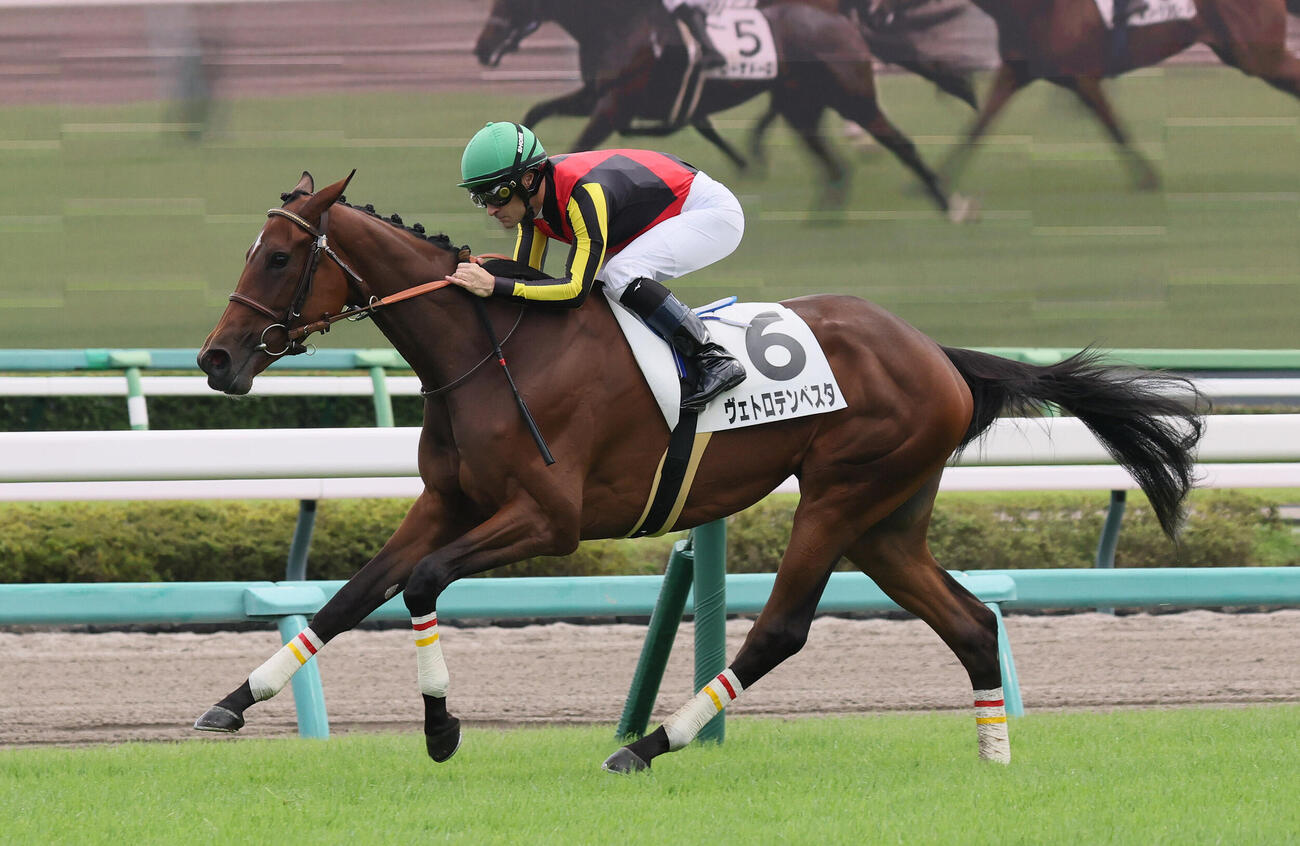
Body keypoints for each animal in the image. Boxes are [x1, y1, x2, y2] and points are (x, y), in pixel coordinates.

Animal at [195, 171, 1203, 771]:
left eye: (278, 256)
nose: (214, 360)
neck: (490, 348)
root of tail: (939, 355)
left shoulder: (551, 519)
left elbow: (423, 583)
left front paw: (442, 728)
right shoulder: (447, 500)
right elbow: (353, 594)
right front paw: (233, 702)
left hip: (839, 494)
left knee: (784, 629)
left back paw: (649, 745)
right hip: (888, 520)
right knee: (969, 620)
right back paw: (994, 761)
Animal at [473, 0, 971, 218]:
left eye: (509, 2)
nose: (481, 49)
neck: (619, 23)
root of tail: (837, 18)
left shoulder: (613, 105)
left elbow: (578, 148)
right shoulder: (597, 95)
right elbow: (536, 113)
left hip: (852, 96)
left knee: (899, 144)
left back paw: (950, 202)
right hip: (802, 106)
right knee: (833, 162)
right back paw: (824, 211)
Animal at [932, 0, 1300, 189]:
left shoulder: (1083, 77)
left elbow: (1115, 127)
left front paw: (1148, 178)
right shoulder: (1016, 71)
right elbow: (979, 125)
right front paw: (936, 180)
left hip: (1258, 54)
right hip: (1239, 52)